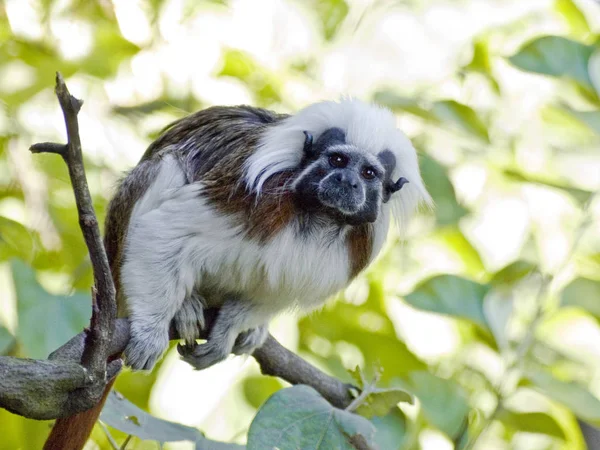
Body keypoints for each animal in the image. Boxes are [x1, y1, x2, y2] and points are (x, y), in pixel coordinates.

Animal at [44, 98, 434, 450]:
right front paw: (151, 331)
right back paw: (183, 305)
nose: (347, 181)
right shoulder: (245, 195)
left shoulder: (349, 249)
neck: (318, 215)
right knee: (166, 167)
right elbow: (165, 230)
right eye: (338, 160)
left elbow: (277, 289)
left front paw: (233, 326)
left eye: (368, 173)